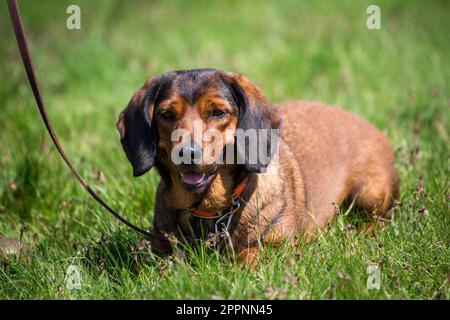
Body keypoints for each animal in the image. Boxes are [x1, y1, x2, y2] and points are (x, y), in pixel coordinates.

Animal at [116, 68, 398, 264]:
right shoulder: (161, 249)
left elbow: (248, 255)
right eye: (166, 114)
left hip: (370, 192)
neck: (208, 209)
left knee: (386, 216)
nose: (187, 153)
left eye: (218, 112)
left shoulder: (280, 245)